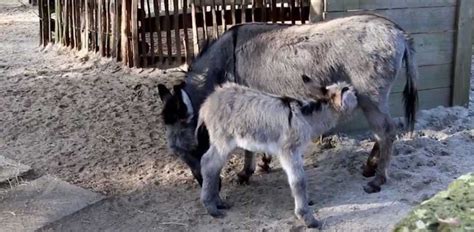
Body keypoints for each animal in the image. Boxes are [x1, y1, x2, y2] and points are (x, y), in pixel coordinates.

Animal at [198, 79, 358, 227]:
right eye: (346, 89)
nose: (357, 95)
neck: (307, 117)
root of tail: (208, 101)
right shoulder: (289, 151)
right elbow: (298, 181)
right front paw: (306, 217)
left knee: (214, 166)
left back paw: (218, 201)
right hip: (223, 139)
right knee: (208, 163)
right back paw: (211, 207)